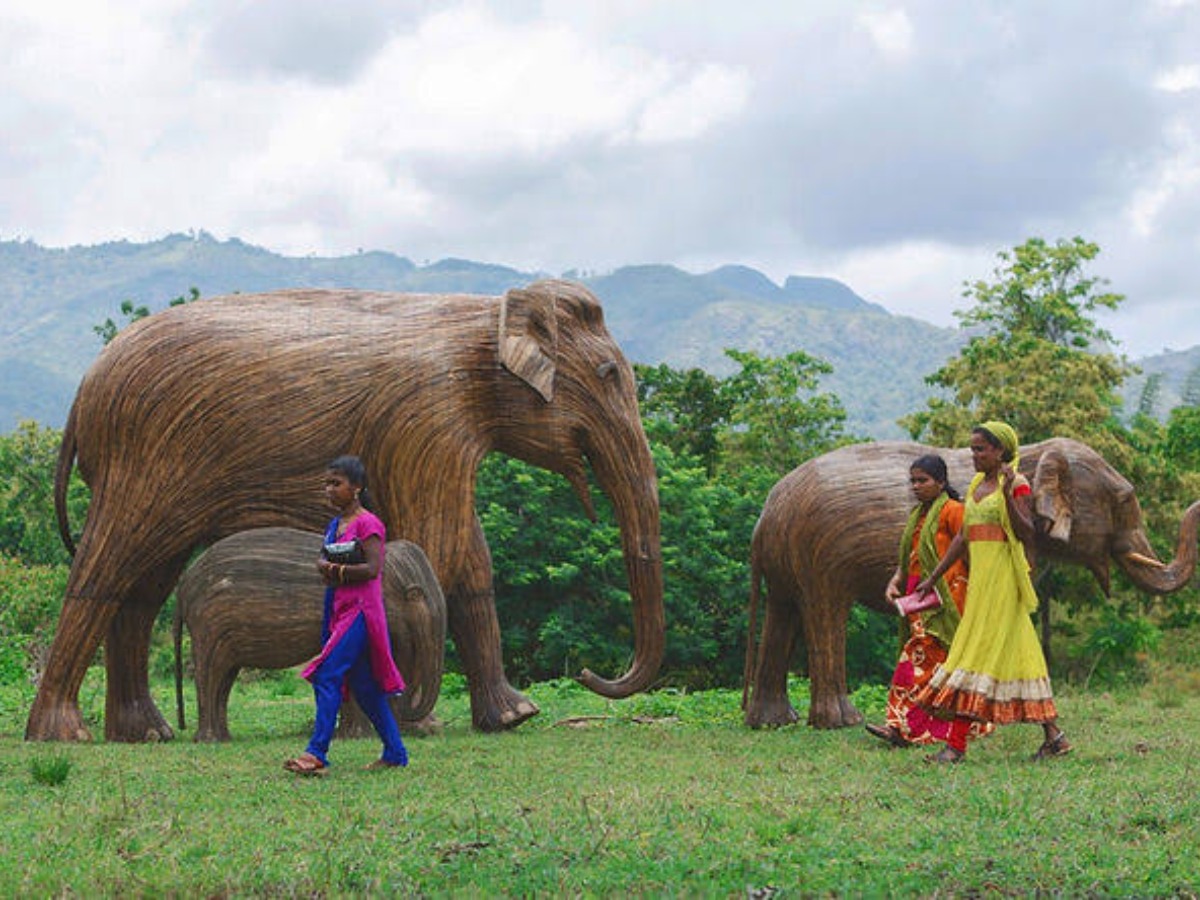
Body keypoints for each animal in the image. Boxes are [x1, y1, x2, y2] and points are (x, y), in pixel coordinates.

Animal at [173, 528, 446, 743]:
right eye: (415, 595)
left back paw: (223, 738)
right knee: (210, 673)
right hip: (208, 625)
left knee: (224, 678)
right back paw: (209, 740)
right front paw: (357, 737)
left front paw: (350, 737)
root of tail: (183, 587)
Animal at [743, 438, 1199, 729]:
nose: (1194, 503)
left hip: (788, 560)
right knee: (824, 616)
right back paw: (841, 722)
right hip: (819, 557)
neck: (1032, 454)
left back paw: (773, 723)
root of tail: (767, 516)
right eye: (1125, 500)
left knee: (782, 616)